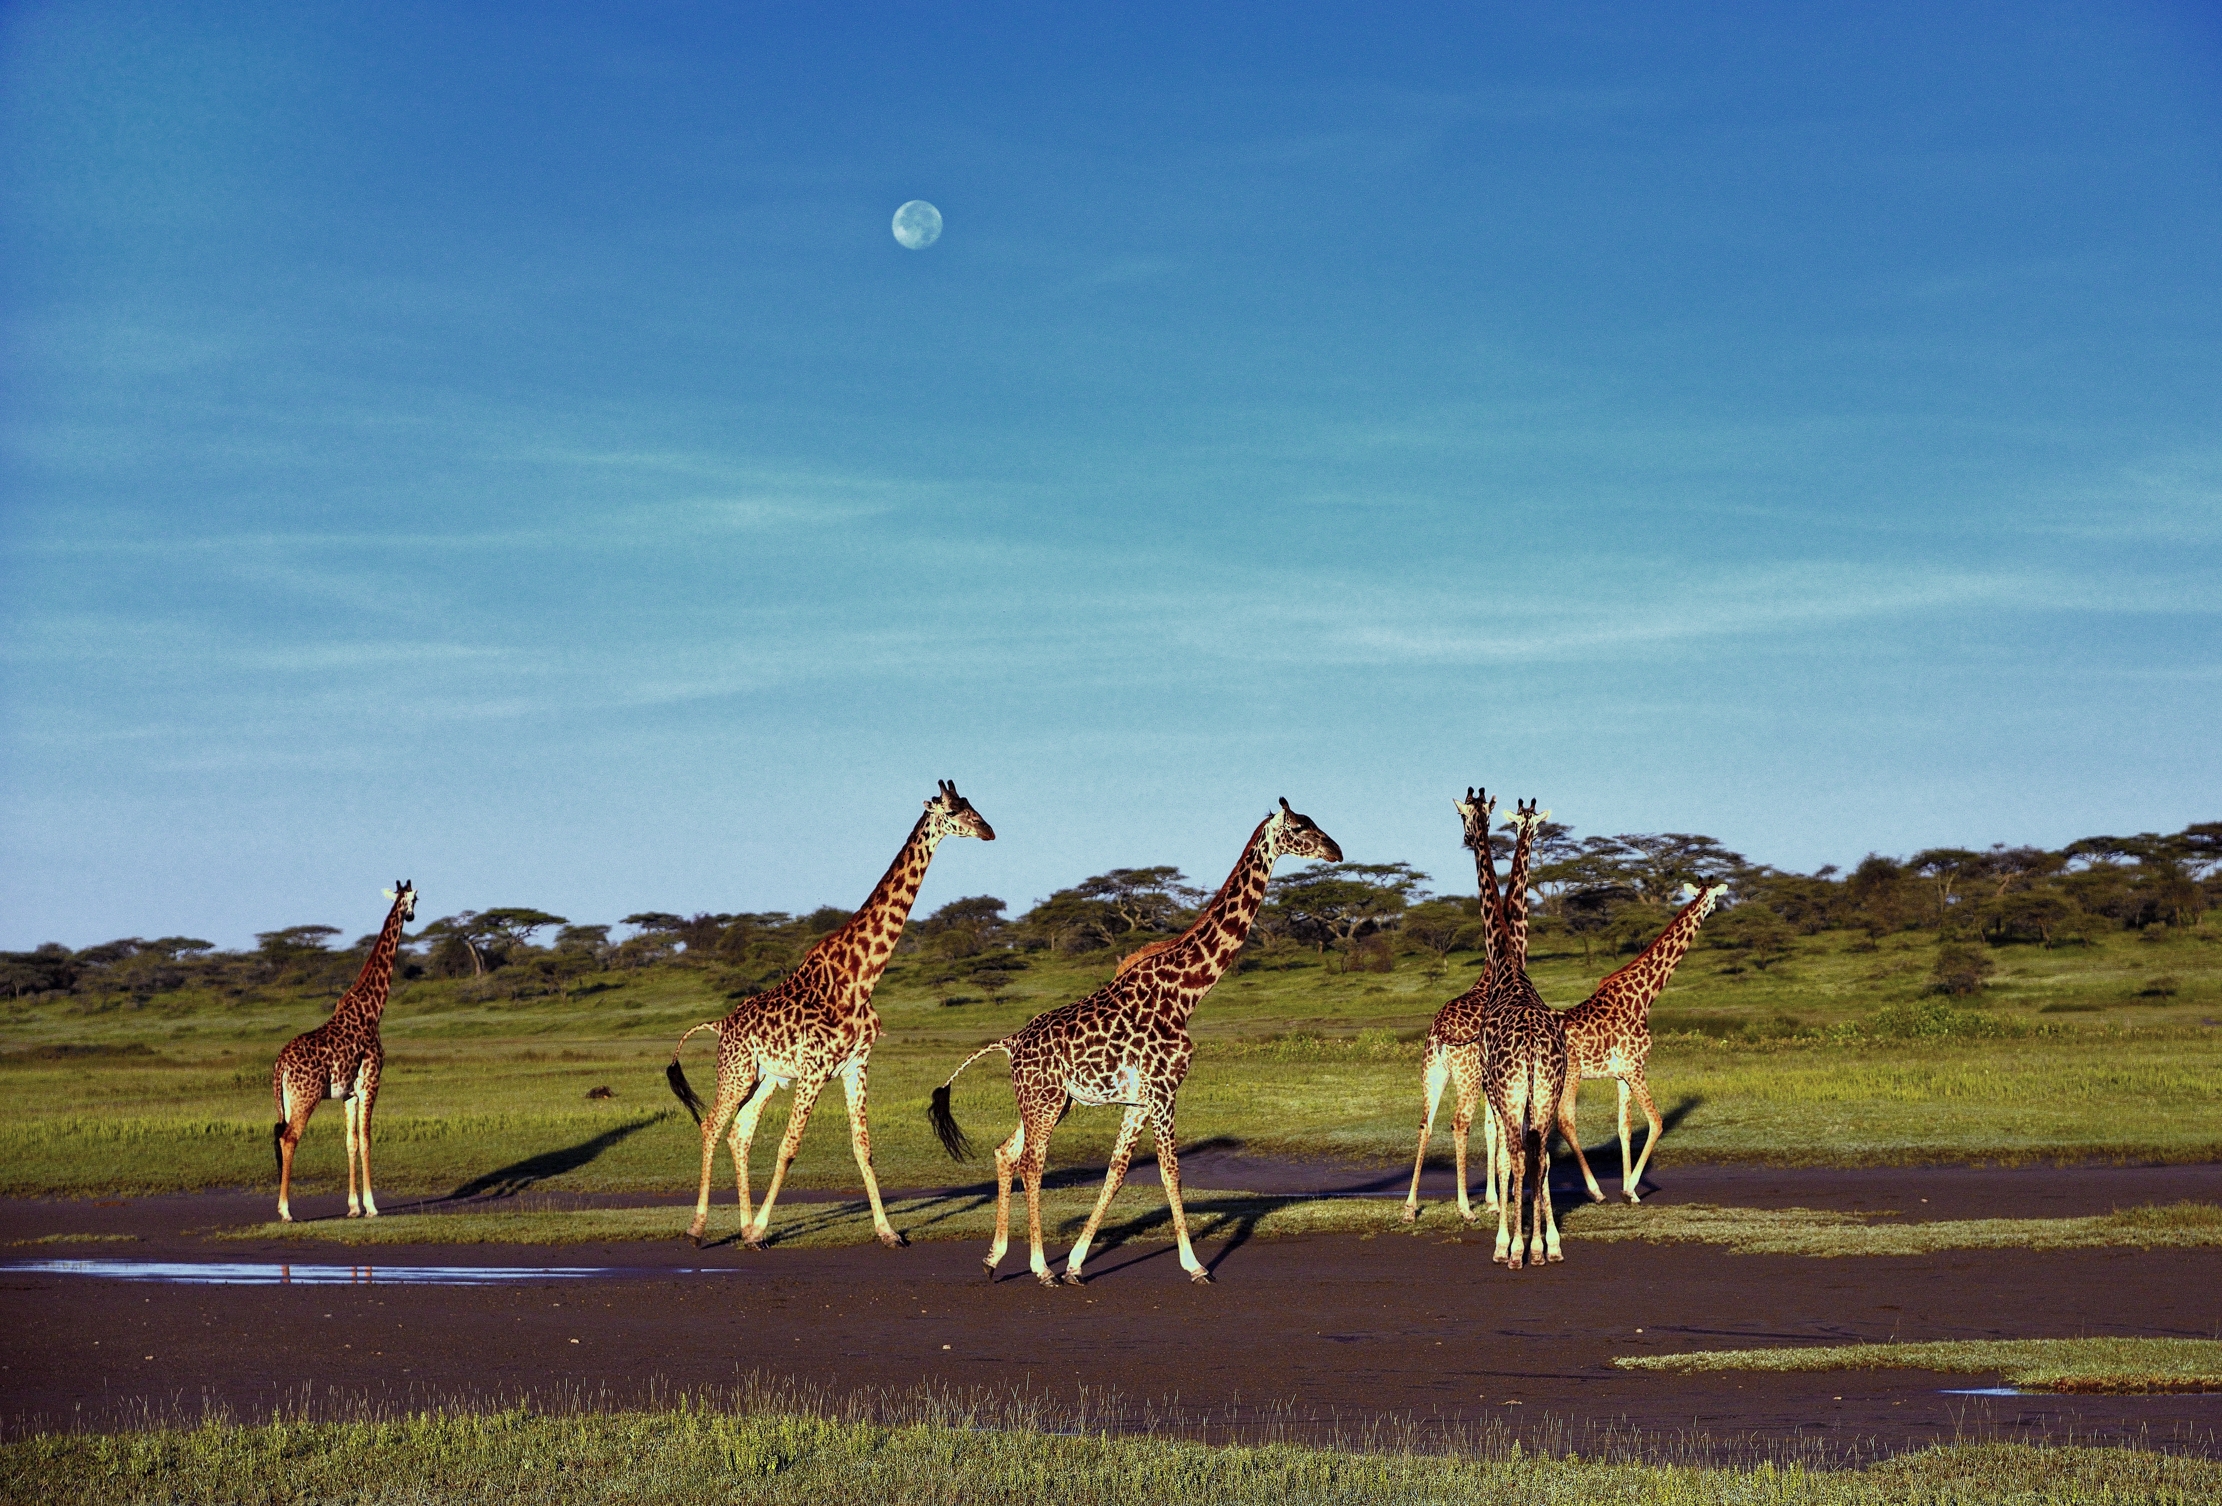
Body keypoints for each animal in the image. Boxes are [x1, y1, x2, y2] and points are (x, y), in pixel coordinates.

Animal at [270, 882, 417, 1222]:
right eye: (415, 899)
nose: (412, 915)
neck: (372, 1009)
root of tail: (280, 1065)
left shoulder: (348, 1093)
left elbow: (350, 1142)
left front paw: (353, 1206)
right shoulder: (371, 1083)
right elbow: (366, 1140)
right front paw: (372, 1206)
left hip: (287, 1101)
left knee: (279, 1134)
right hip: (306, 1097)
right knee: (289, 1138)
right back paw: (286, 1211)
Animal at [666, 781, 994, 1250]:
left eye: (972, 806)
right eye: (952, 811)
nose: (988, 831)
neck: (861, 977)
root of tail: (721, 1024)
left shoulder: (856, 1064)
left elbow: (863, 1148)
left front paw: (888, 1232)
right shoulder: (816, 1067)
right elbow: (789, 1147)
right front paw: (762, 1226)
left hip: (768, 1077)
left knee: (739, 1132)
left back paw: (746, 1231)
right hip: (737, 1071)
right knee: (712, 1125)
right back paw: (699, 1229)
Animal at [929, 800, 1342, 1286]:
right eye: (1300, 827)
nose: (1335, 850)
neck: (1186, 992)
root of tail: (1010, 1042)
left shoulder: (1140, 1101)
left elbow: (1118, 1172)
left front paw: (1075, 1265)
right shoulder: (1164, 1093)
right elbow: (1170, 1173)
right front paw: (1196, 1266)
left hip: (1050, 1101)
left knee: (1006, 1153)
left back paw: (994, 1260)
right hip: (1044, 1101)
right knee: (1031, 1163)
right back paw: (1038, 1268)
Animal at [1558, 877, 1731, 1202]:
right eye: (1715, 898)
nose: (1716, 911)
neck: (1645, 996)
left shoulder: (1621, 1073)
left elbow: (1624, 1127)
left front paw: (1630, 1190)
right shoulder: (1634, 1065)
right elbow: (1656, 1121)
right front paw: (1631, 1189)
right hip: (1569, 1075)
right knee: (1565, 1121)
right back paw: (1595, 1191)